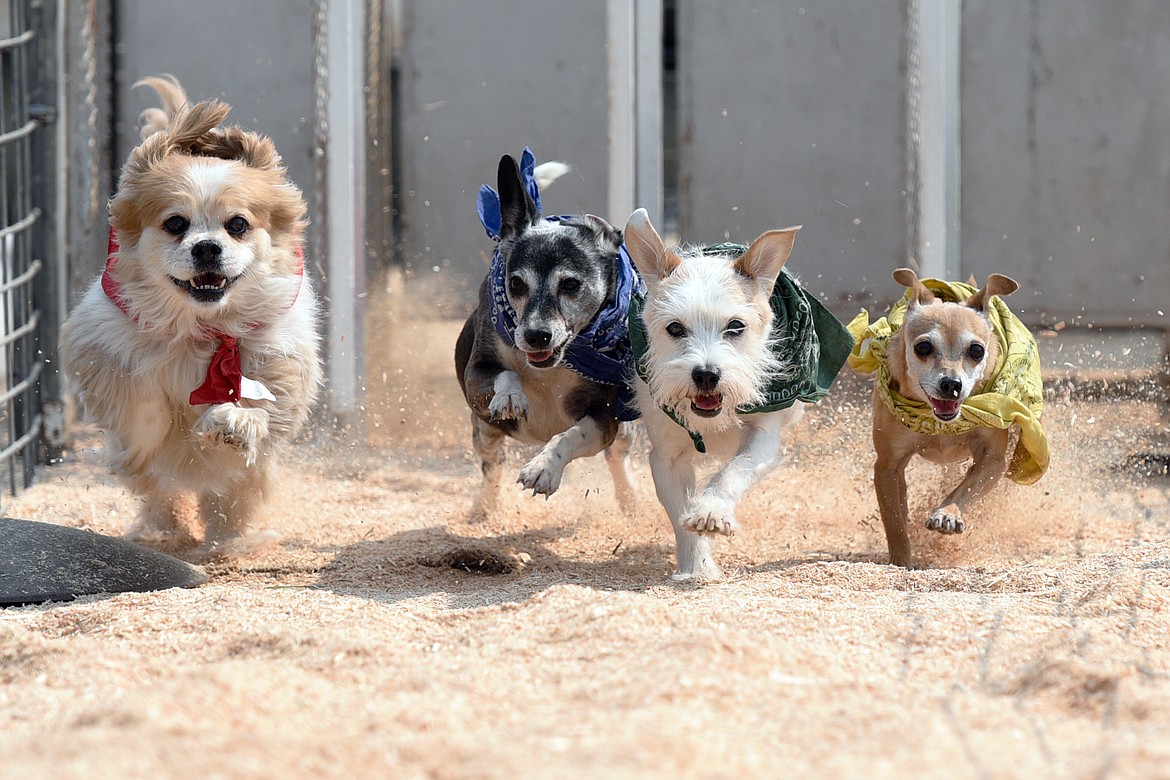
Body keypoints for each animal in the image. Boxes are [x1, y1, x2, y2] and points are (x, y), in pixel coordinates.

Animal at [60, 76, 320, 558]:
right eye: (175, 223)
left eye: (237, 224)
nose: (206, 247)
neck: (202, 329)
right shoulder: (97, 349)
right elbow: (141, 408)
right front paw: (150, 433)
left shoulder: (279, 362)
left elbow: (257, 412)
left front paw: (228, 422)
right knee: (162, 494)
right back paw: (165, 532)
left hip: (247, 481)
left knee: (230, 502)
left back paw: (228, 544)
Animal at [453, 150, 641, 519]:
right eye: (515, 283)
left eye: (570, 284)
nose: (535, 335)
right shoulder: (476, 373)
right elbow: (505, 374)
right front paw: (511, 396)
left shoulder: (604, 417)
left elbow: (571, 436)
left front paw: (544, 469)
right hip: (483, 429)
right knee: (492, 465)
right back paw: (484, 507)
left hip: (625, 427)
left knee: (617, 458)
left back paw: (630, 501)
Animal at [627, 206, 847, 580]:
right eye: (675, 328)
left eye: (735, 326)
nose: (706, 374)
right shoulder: (666, 457)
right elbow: (680, 511)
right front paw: (698, 566)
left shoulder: (763, 440)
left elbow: (734, 470)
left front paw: (711, 511)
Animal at [875, 268, 1020, 568]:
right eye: (923, 347)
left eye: (976, 350)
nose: (952, 383)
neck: (940, 424)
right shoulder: (887, 466)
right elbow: (895, 521)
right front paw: (901, 562)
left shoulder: (993, 460)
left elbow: (965, 489)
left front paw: (946, 513)